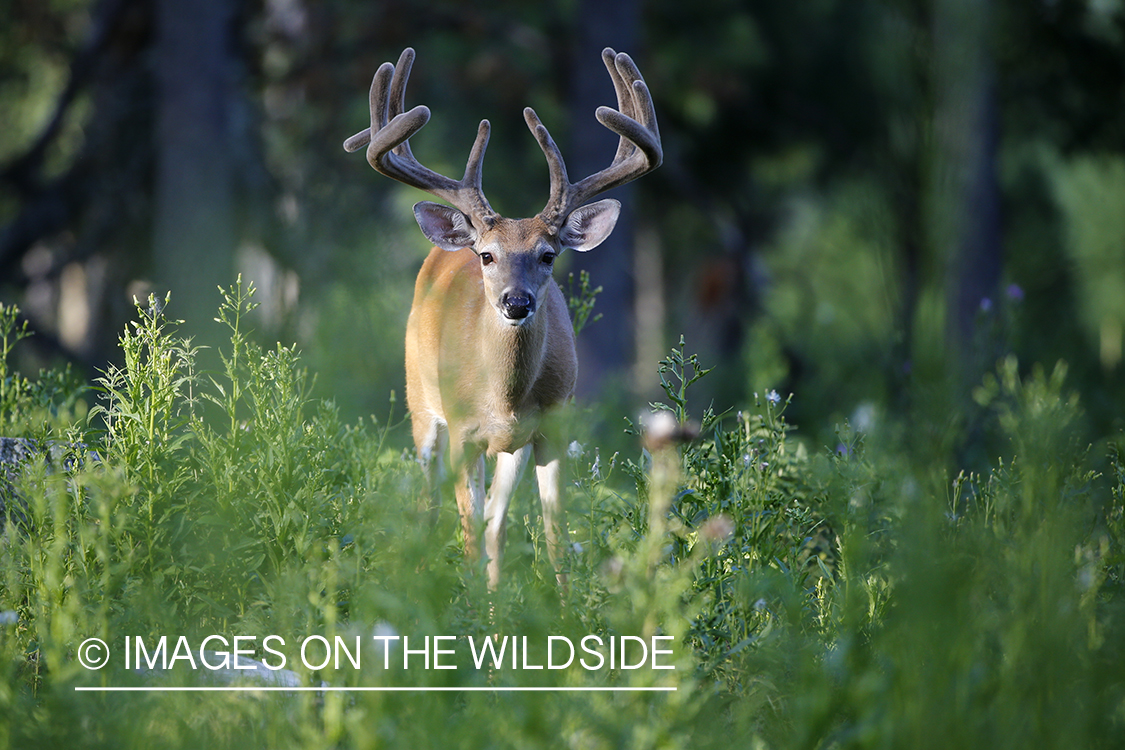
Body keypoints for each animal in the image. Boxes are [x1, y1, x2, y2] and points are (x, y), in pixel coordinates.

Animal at [342, 45, 657, 593]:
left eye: (548, 254)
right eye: (487, 256)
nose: (516, 302)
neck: (503, 397)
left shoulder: (551, 427)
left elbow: (552, 537)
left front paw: (565, 605)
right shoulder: (463, 431)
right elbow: (467, 535)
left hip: (511, 449)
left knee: (496, 524)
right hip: (420, 403)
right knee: (430, 507)